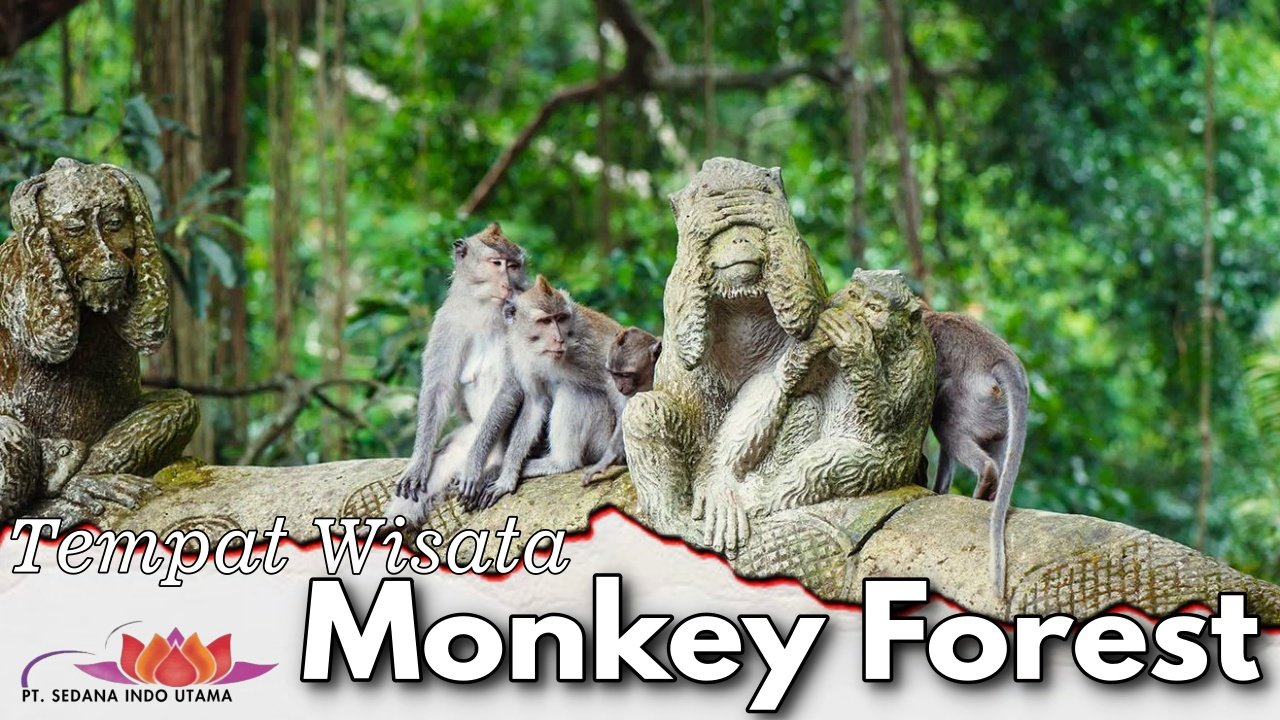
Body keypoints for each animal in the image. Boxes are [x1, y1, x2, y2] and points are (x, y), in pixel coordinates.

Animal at [385, 223, 529, 526]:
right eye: (496, 263)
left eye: (513, 266)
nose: (507, 284)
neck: (486, 310)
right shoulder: (447, 321)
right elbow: (437, 388)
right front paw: (418, 462)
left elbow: (511, 388)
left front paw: (473, 469)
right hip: (464, 437)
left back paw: (489, 468)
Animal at [458, 276, 625, 509]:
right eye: (545, 321)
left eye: (561, 318)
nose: (559, 339)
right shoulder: (519, 354)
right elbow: (535, 403)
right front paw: (506, 476)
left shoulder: (591, 345)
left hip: (602, 438)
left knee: (574, 391)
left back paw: (562, 462)